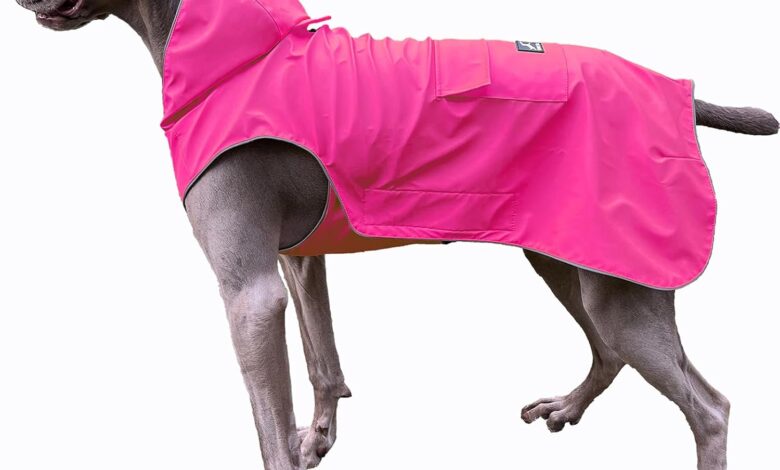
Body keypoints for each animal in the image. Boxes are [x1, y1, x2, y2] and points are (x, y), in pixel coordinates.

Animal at [13, 1, 778, 469]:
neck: (242, 58)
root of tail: (679, 92)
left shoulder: (247, 293)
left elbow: (267, 429)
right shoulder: (298, 260)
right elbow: (322, 360)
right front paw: (320, 437)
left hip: (621, 284)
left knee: (709, 407)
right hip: (567, 256)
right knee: (609, 350)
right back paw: (566, 406)